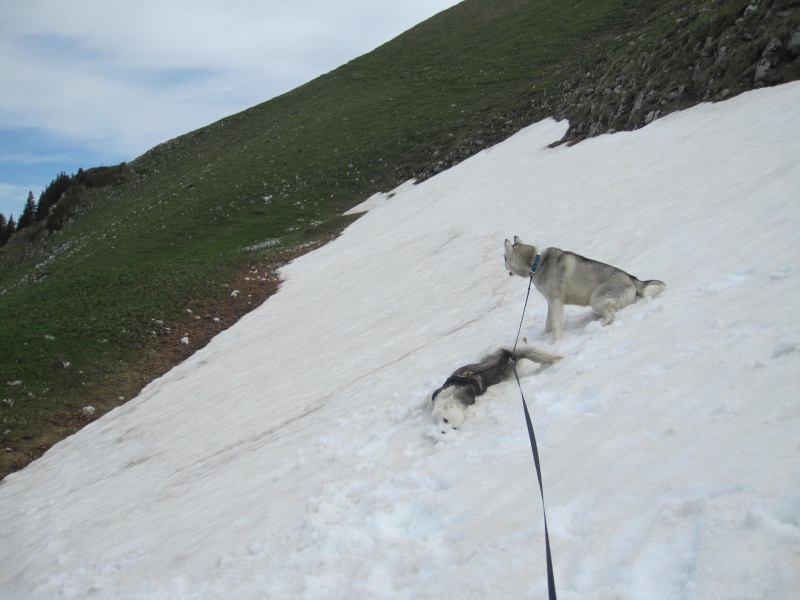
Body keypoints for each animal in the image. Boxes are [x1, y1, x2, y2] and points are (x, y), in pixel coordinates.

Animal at [504, 236, 664, 342]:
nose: (504, 268)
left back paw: (598, 326)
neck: (536, 263)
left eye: (504, 258)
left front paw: (554, 343)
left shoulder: (556, 302)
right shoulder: (551, 302)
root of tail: (632, 279)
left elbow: (555, 325)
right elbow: (548, 324)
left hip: (596, 300)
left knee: (611, 315)